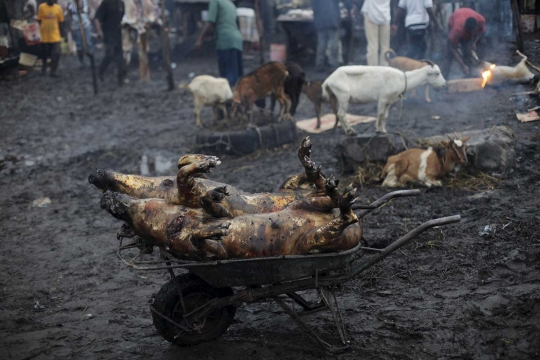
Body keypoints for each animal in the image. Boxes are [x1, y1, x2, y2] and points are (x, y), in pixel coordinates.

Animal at [320, 63, 448, 135]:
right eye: (437, 73)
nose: (445, 84)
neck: (402, 79)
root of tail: (328, 79)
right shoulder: (382, 98)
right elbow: (380, 113)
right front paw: (377, 130)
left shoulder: (390, 101)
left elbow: (385, 116)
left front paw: (383, 130)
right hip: (343, 96)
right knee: (341, 114)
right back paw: (350, 132)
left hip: (337, 97)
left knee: (338, 114)